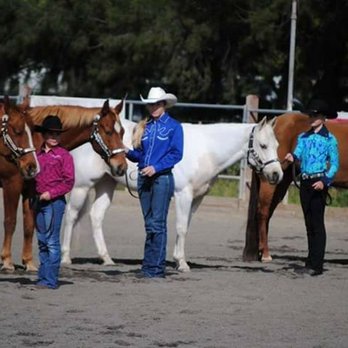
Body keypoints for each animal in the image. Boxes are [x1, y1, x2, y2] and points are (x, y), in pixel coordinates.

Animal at [0, 98, 128, 272]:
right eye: (108, 131)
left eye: (122, 132)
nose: (121, 166)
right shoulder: (11, 185)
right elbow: (10, 221)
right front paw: (7, 261)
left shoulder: (30, 189)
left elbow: (29, 225)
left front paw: (29, 263)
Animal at [60, 115, 282, 270]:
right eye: (263, 145)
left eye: (277, 145)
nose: (276, 174)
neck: (206, 150)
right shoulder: (184, 194)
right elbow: (181, 227)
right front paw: (182, 264)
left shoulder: (196, 198)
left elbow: (185, 227)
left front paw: (177, 259)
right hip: (82, 186)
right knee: (70, 216)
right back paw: (65, 257)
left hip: (107, 184)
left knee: (96, 216)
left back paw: (107, 259)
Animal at [243, 113, 348, 262]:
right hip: (269, 181)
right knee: (262, 212)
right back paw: (266, 255)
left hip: (281, 181)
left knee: (268, 213)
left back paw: (261, 251)